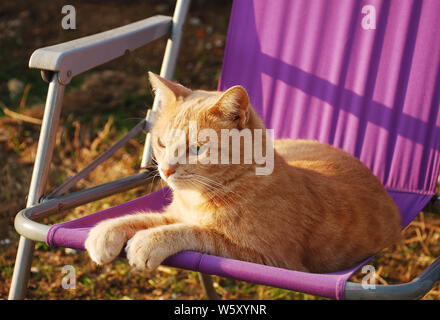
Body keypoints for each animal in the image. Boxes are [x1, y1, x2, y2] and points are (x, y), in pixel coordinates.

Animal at [85, 72, 402, 272]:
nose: (165, 169)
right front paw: (105, 231)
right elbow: (145, 217)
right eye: (162, 143)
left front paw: (148, 242)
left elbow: (196, 232)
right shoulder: (173, 213)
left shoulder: (269, 258)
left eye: (196, 148)